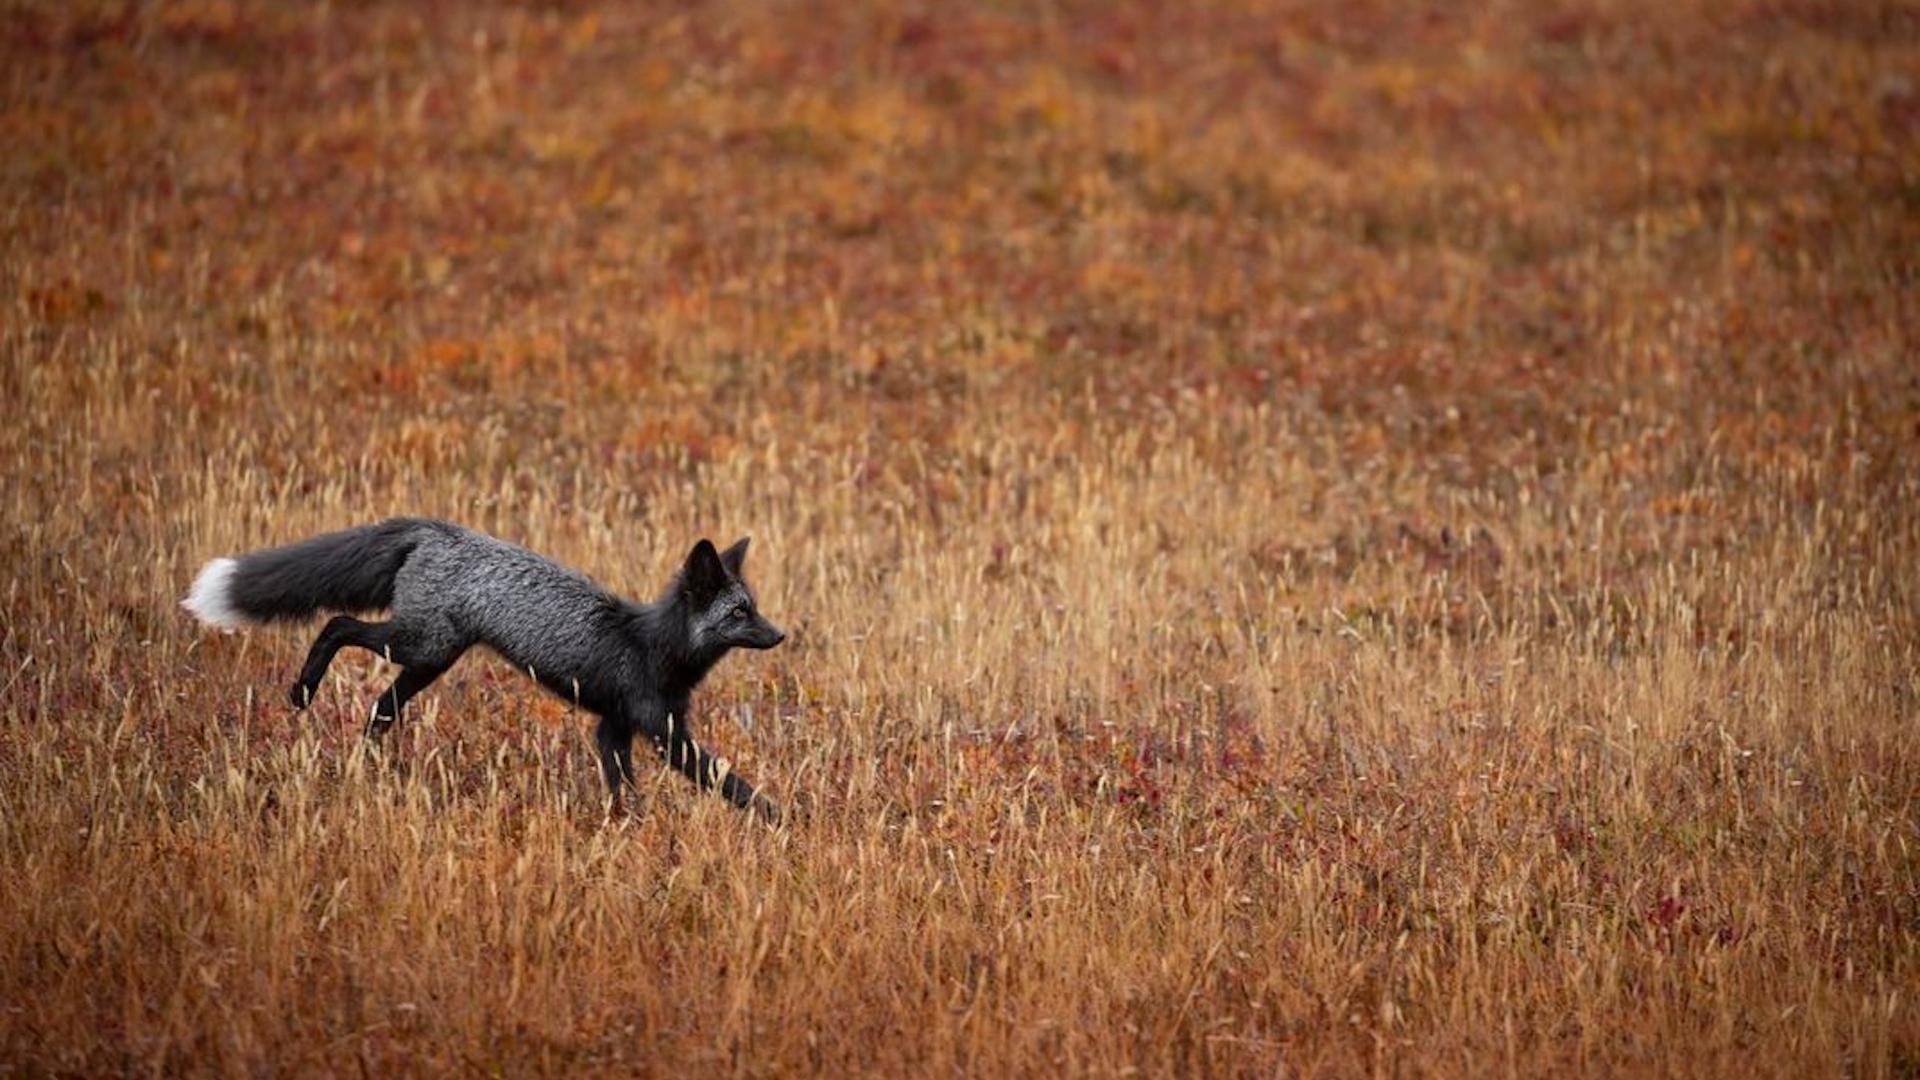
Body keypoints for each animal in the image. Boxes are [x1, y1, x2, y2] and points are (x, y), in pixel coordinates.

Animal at [181, 518, 786, 821]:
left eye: (753, 607)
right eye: (739, 613)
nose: (781, 635)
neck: (654, 646)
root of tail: (440, 530)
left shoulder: (611, 727)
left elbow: (622, 787)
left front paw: (628, 829)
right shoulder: (661, 730)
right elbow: (727, 780)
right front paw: (780, 819)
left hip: (426, 662)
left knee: (378, 707)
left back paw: (364, 765)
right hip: (417, 645)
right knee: (336, 624)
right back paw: (304, 692)